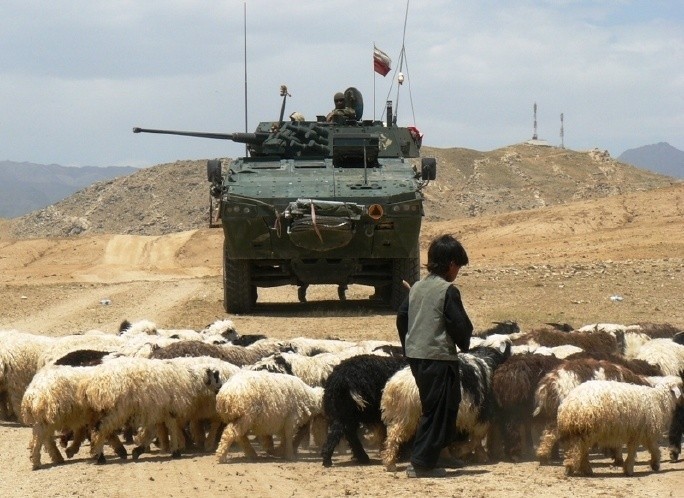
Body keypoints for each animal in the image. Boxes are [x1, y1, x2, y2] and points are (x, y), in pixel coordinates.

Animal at [556, 376, 684, 476]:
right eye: (682, 386)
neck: (659, 400)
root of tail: (569, 406)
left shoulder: (643, 433)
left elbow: (653, 449)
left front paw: (654, 464)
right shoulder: (641, 432)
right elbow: (635, 451)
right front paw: (630, 469)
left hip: (575, 432)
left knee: (578, 451)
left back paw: (582, 469)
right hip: (586, 431)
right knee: (578, 451)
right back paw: (573, 468)